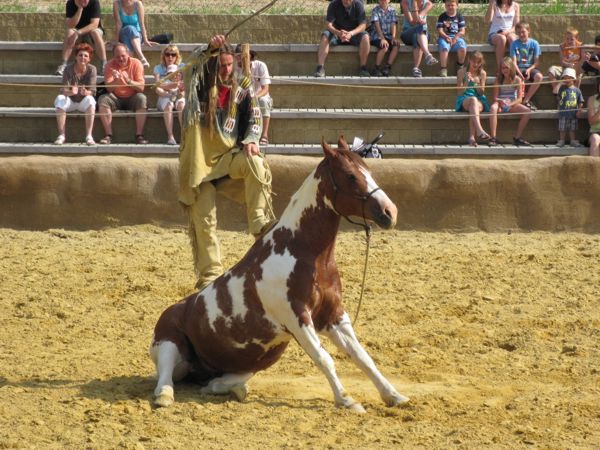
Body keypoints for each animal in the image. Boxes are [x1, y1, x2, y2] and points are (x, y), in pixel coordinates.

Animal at [148, 136, 410, 412]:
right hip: (168, 344)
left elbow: (362, 357)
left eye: (368, 171)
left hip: (253, 363)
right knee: (165, 375)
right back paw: (164, 395)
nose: (390, 212)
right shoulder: (297, 317)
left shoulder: (334, 316)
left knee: (220, 382)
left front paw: (393, 395)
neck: (300, 250)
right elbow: (324, 358)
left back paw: (229, 389)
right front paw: (347, 400)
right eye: (350, 176)